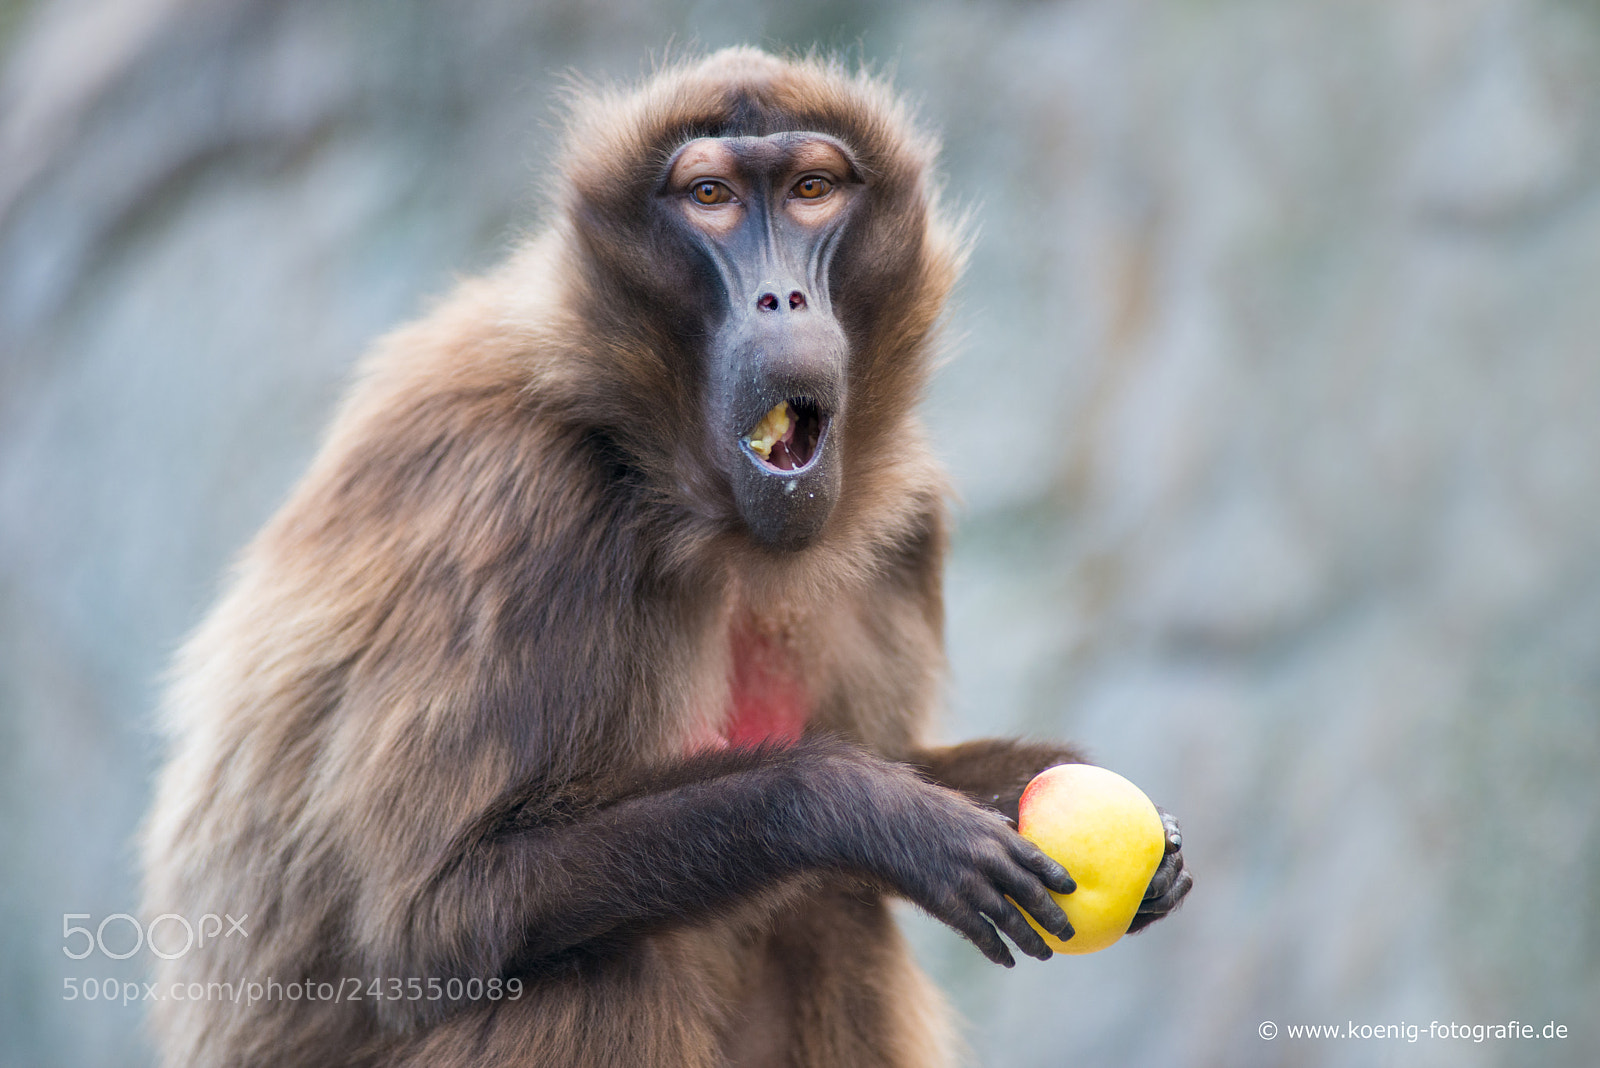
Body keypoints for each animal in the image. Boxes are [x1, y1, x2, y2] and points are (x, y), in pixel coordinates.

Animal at [142, 48, 1190, 1068]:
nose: (782, 296)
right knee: (603, 966)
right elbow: (437, 918)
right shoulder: (519, 507)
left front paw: (1026, 788)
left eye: (812, 189)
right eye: (711, 198)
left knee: (826, 910)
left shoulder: (906, 528)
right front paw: (861, 809)